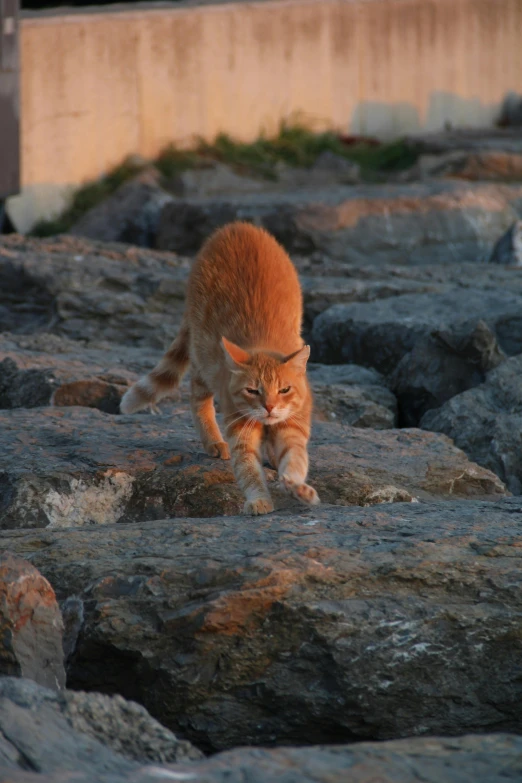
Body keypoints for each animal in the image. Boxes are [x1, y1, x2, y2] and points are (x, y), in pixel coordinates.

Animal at [120, 220, 318, 516]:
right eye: (252, 391)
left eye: (284, 390)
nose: (270, 407)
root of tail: (237, 225)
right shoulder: (241, 430)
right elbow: (248, 471)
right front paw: (259, 500)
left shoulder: (293, 427)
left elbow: (294, 460)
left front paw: (298, 488)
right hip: (205, 362)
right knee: (198, 401)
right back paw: (213, 441)